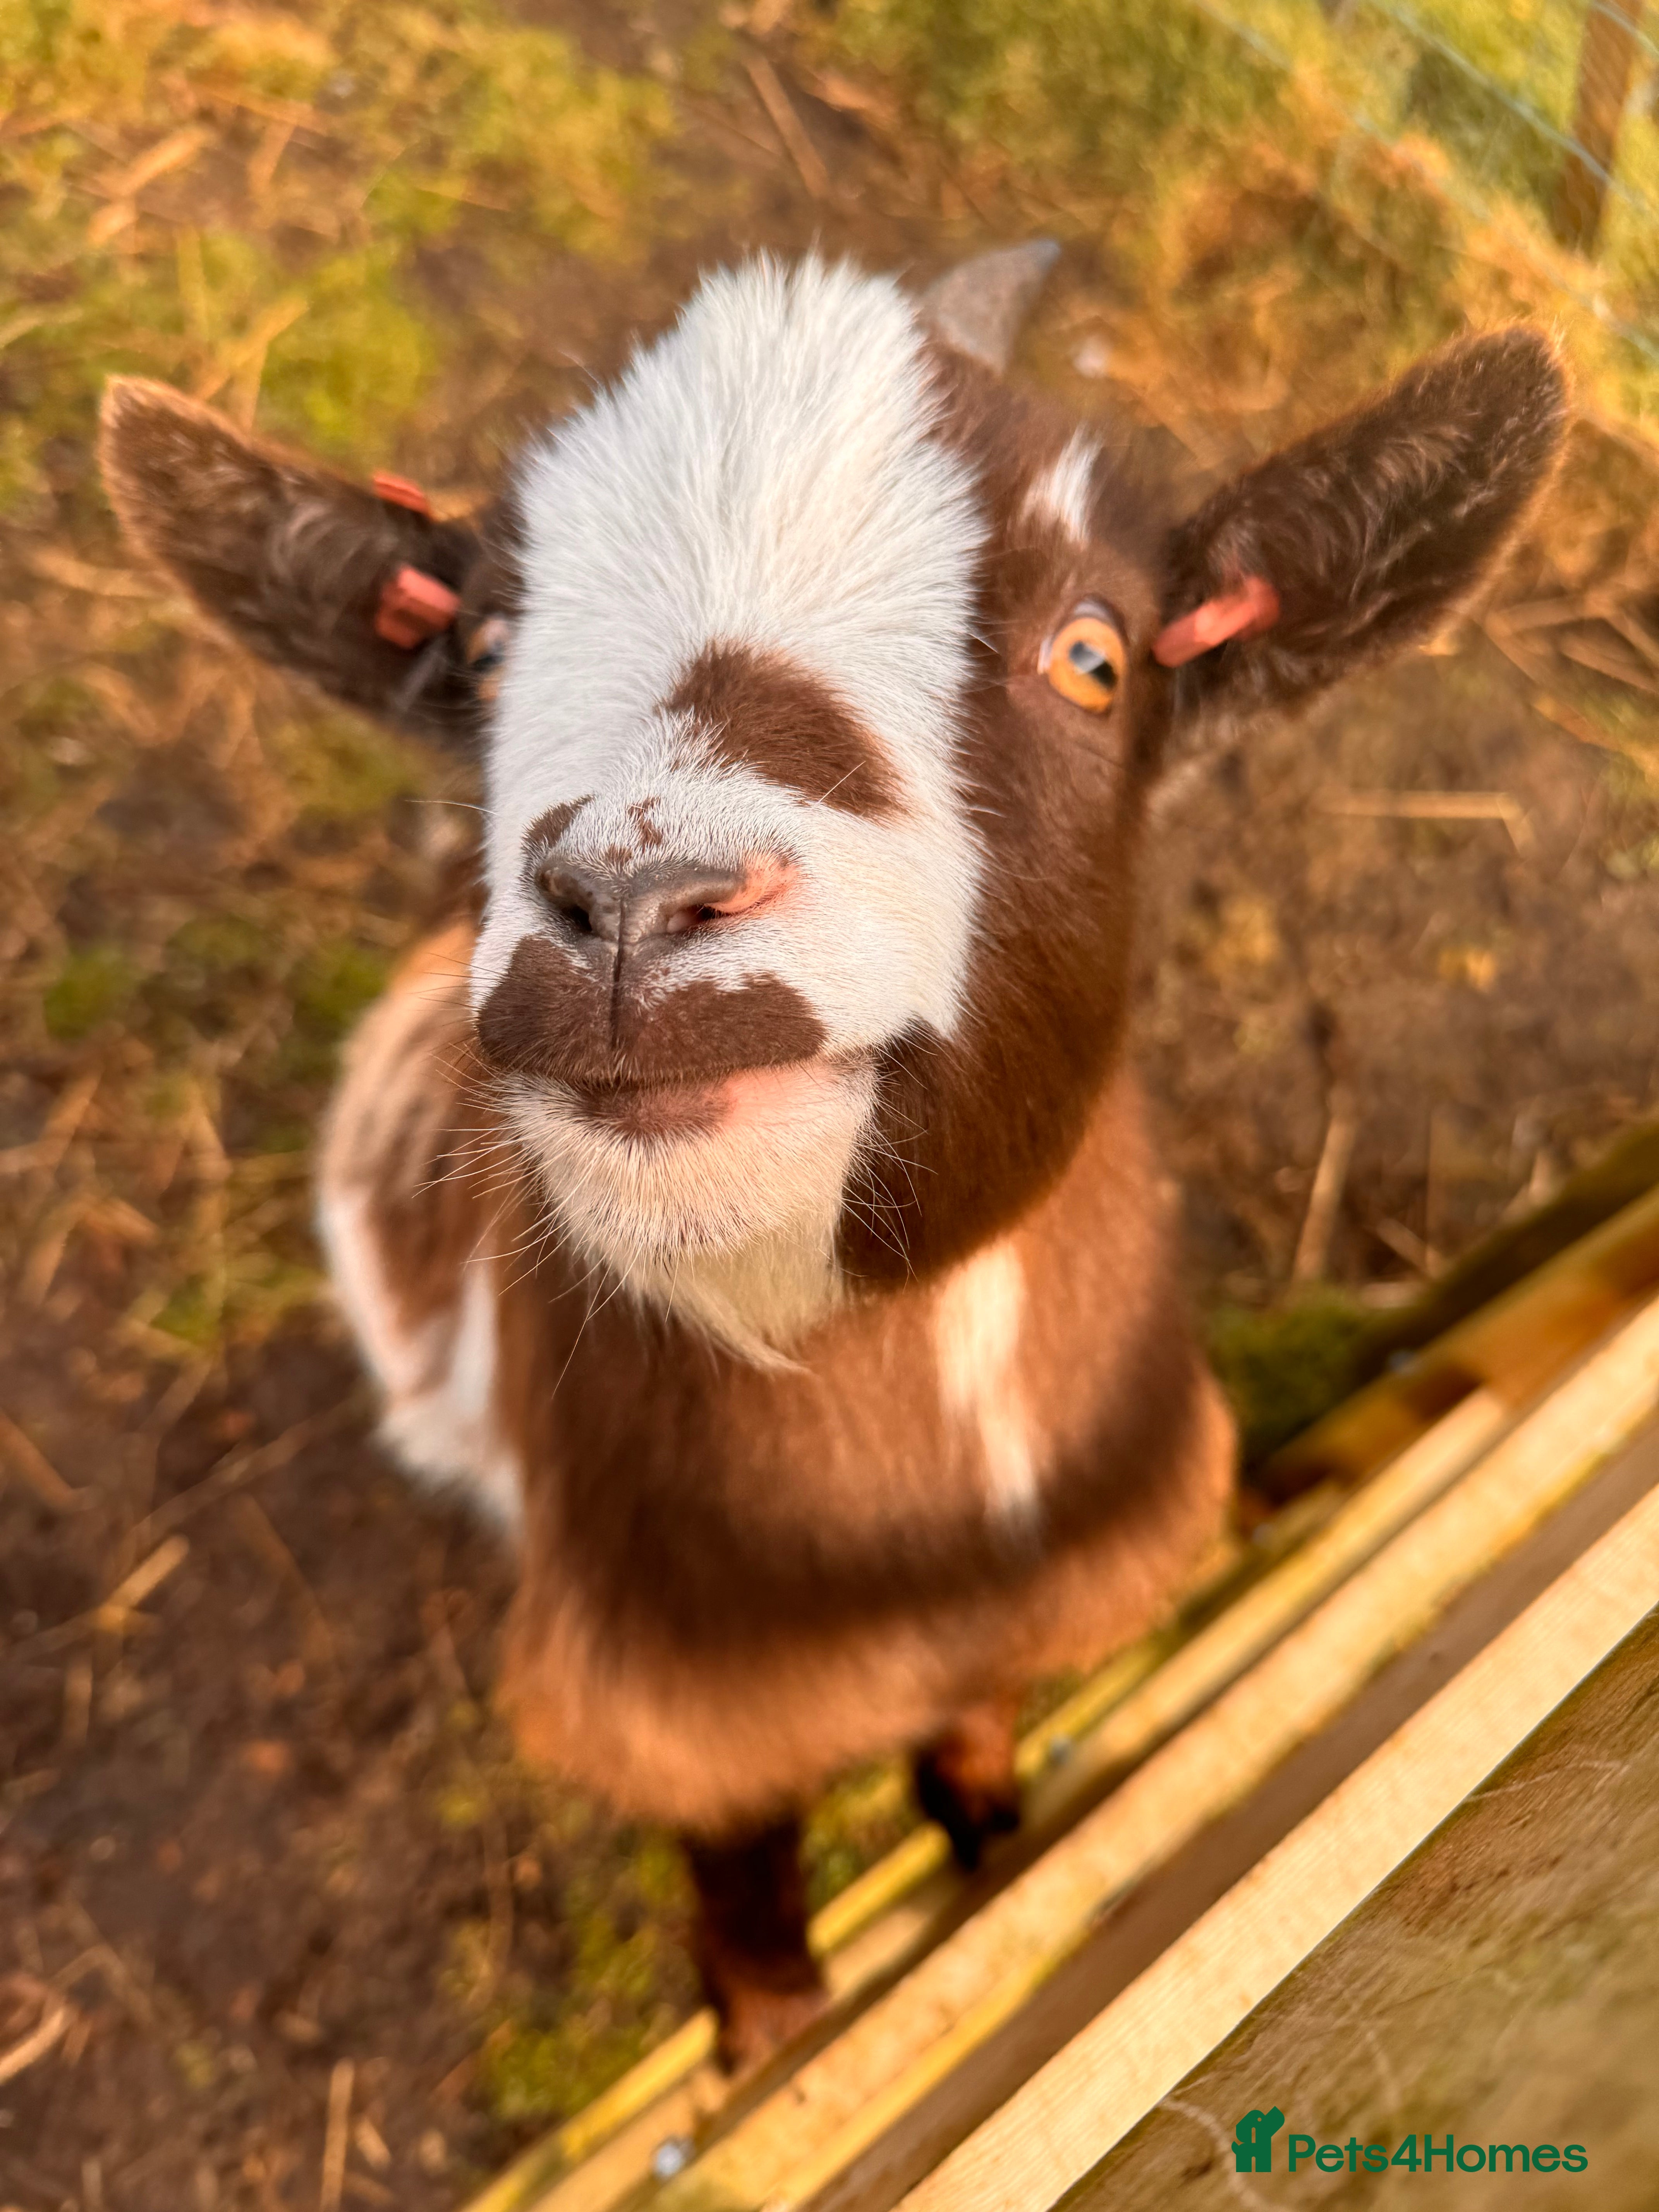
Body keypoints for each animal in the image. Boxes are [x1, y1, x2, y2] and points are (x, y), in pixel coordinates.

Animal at [100, 248, 1564, 2068]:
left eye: (1095, 656)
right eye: (488, 651)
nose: (635, 902)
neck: (901, 1555)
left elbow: (980, 1751)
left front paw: (992, 1833)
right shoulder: (681, 1712)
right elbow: (748, 1909)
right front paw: (772, 2033)